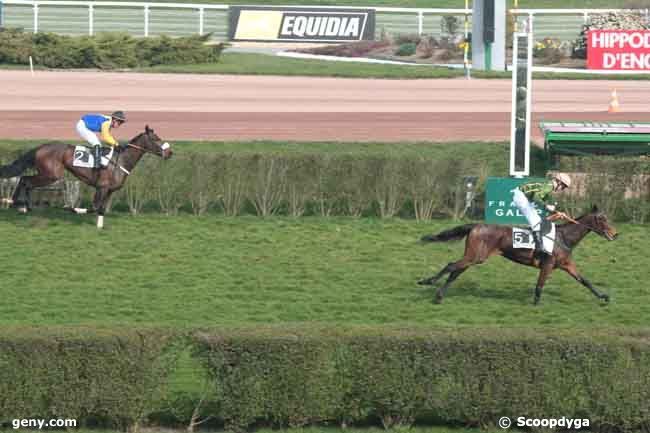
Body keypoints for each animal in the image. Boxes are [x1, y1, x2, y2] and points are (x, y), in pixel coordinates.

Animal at [0, 125, 172, 228]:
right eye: (156, 139)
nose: (170, 152)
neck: (122, 159)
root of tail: (40, 148)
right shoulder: (101, 187)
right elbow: (94, 207)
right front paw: (70, 208)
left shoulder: (109, 190)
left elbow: (101, 208)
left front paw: (100, 226)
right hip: (50, 175)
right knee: (26, 181)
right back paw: (18, 204)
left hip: (47, 175)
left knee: (24, 180)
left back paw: (19, 204)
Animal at [418, 206, 616, 304]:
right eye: (602, 219)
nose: (615, 234)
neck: (564, 237)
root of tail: (476, 225)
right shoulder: (548, 264)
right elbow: (539, 286)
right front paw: (536, 304)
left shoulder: (566, 265)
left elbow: (585, 281)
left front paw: (604, 297)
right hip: (476, 256)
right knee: (451, 265)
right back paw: (427, 281)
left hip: (474, 257)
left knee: (455, 272)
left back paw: (439, 296)